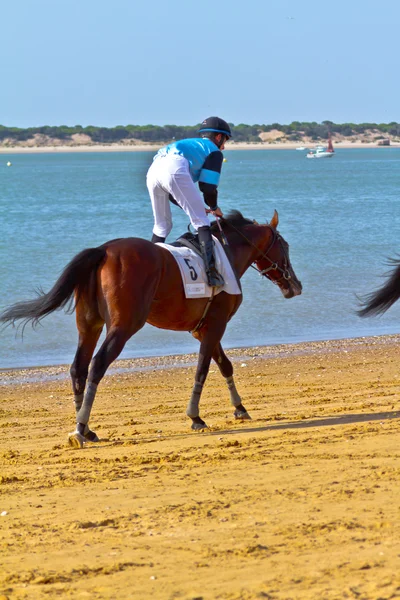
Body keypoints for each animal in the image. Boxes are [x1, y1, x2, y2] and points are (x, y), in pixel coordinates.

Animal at [0, 209, 300, 448]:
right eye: (285, 246)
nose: (295, 286)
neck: (225, 253)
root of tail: (103, 250)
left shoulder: (203, 328)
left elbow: (224, 364)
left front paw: (239, 407)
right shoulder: (216, 324)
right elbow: (204, 367)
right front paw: (195, 416)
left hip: (89, 324)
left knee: (78, 368)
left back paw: (86, 428)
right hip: (124, 325)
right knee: (97, 364)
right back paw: (81, 428)